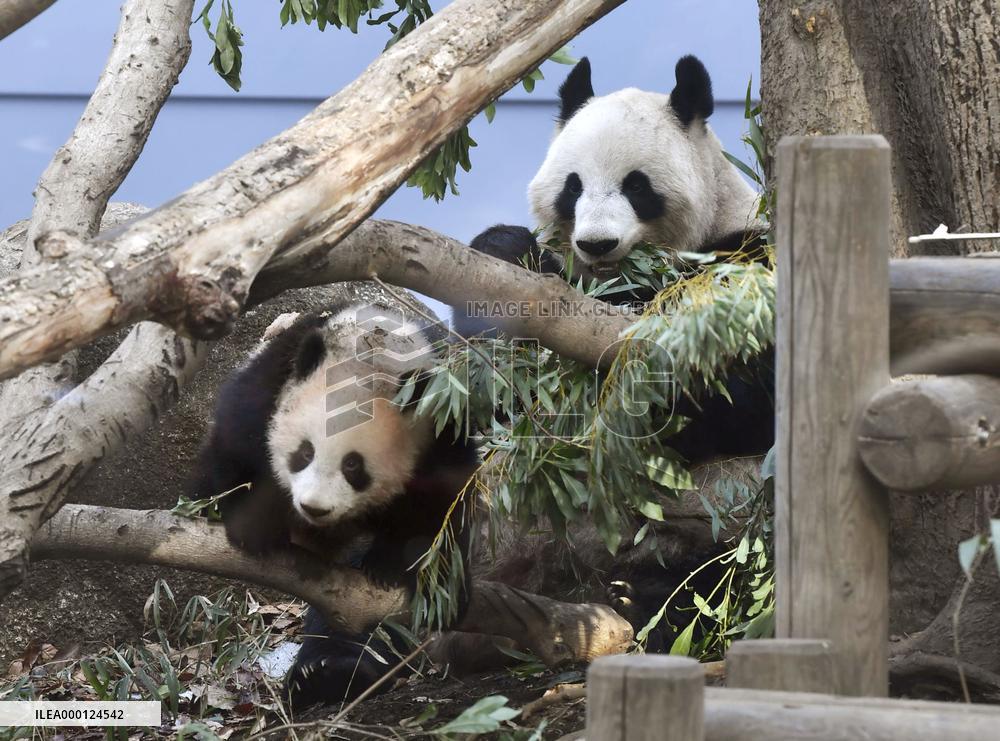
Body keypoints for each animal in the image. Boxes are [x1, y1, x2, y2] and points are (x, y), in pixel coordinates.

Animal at [189, 300, 478, 708]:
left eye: (353, 465)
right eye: (304, 452)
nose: (314, 508)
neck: (373, 352)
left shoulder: (440, 429)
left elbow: (437, 513)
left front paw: (390, 564)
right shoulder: (272, 384)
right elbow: (239, 444)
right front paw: (252, 529)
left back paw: (335, 674)